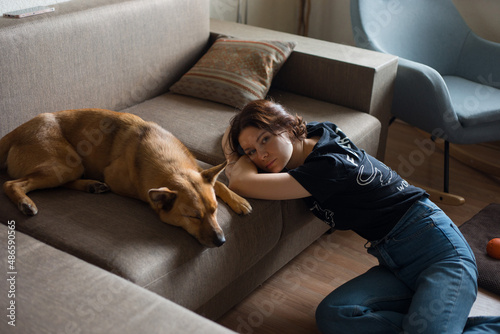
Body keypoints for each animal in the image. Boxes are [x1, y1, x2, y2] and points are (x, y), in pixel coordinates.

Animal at [0, 108, 250, 247]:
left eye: (215, 210)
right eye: (193, 217)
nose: (222, 242)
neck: (171, 166)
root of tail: (14, 131)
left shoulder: (197, 169)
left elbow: (220, 185)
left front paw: (238, 200)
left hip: (71, 167)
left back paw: (92, 185)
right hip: (66, 164)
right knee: (11, 183)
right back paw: (25, 202)